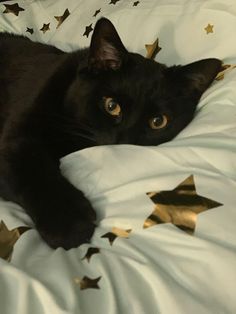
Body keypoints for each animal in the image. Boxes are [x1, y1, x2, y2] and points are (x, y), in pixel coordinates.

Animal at [0, 17, 221, 250]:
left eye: (158, 122)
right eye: (111, 106)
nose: (123, 142)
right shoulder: (17, 140)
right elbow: (35, 171)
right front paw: (70, 226)